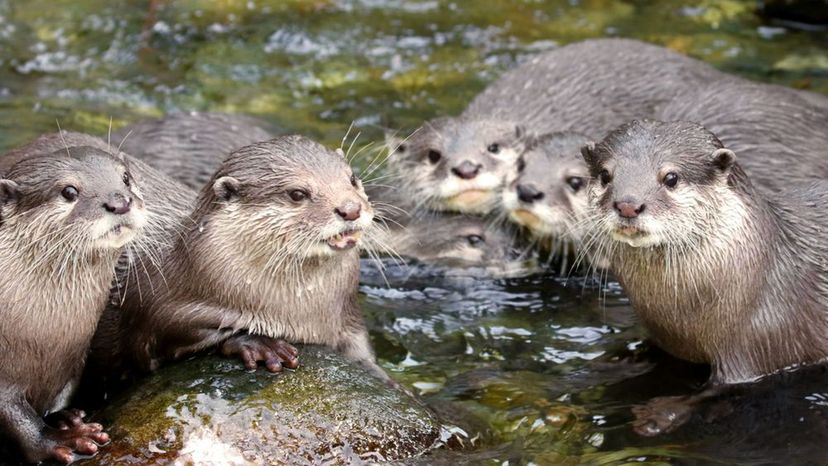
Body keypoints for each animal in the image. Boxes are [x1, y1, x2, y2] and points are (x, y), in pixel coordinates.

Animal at [0, 137, 147, 462]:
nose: (119, 202)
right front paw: (60, 440)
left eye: (126, 178)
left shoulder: (74, 359)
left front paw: (64, 419)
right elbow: (14, 416)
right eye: (69, 191)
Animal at [584, 119, 828, 436]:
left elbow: (715, 390)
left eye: (671, 177)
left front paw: (661, 413)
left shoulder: (756, 346)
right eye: (605, 174)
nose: (627, 204)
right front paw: (619, 357)